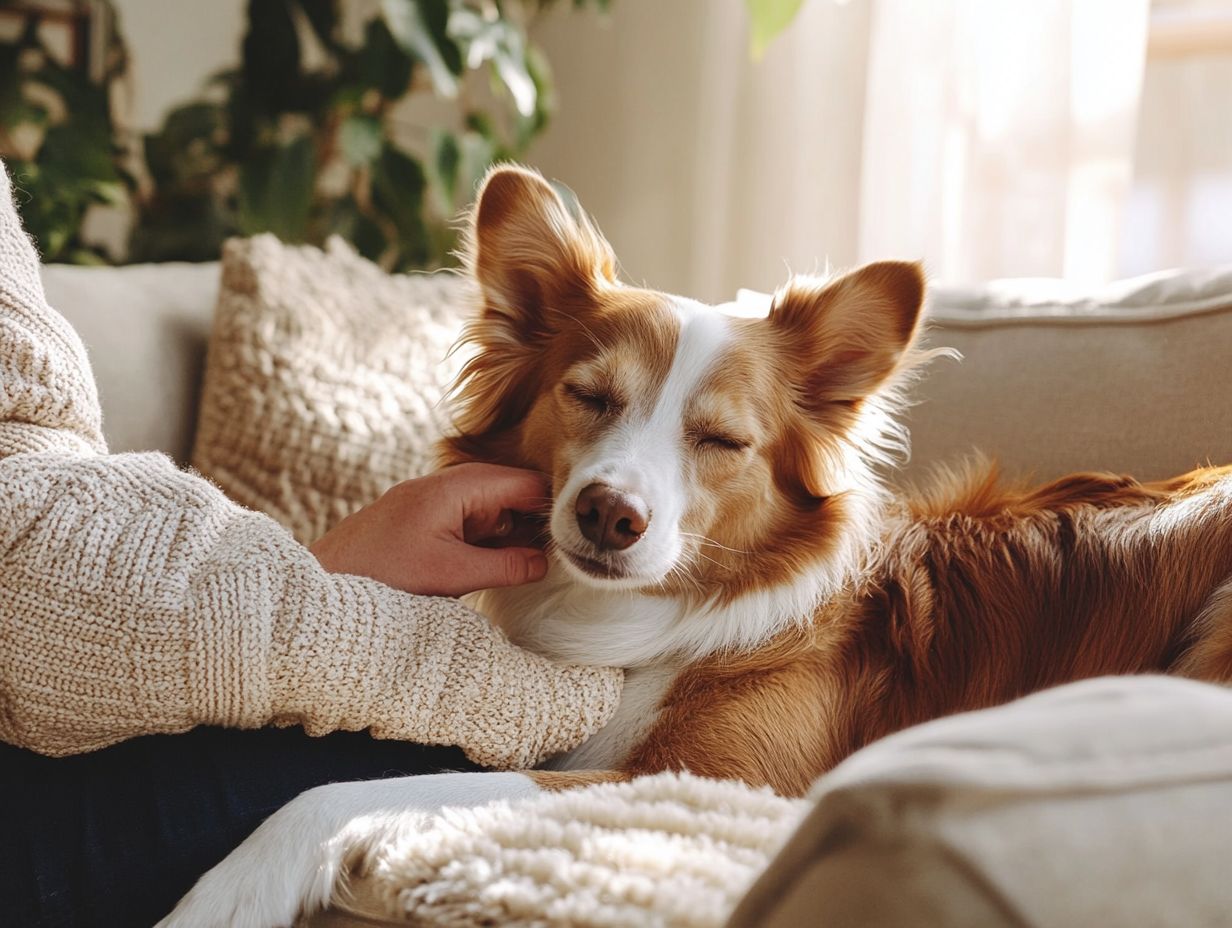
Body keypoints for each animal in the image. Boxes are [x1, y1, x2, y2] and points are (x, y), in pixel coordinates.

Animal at [161, 162, 1232, 921]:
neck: (646, 616)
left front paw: (230, 890)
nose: (609, 516)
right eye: (589, 396)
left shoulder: (713, 779)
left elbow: (352, 787)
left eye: (721, 440)